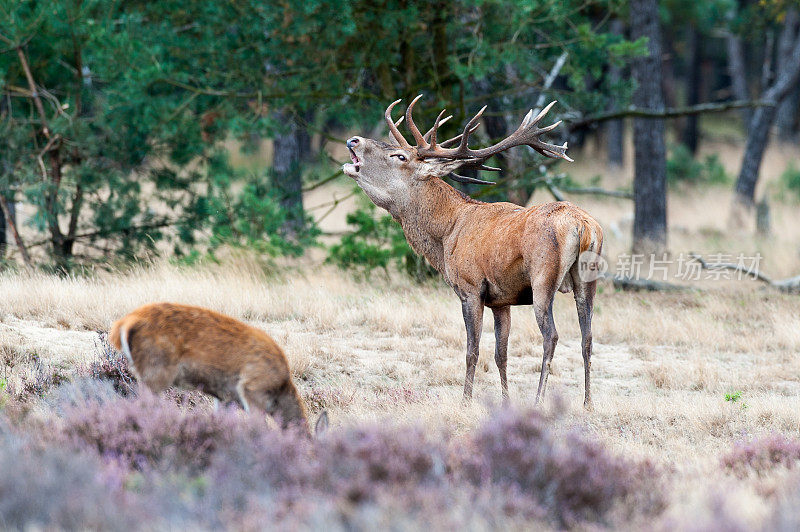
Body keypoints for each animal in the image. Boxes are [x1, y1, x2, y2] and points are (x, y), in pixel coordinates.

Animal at [110, 304, 328, 436]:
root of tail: (123, 324)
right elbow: (259, 428)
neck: (280, 389)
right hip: (156, 371)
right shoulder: (252, 388)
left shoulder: (225, 398)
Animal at [342, 96, 600, 408]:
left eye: (400, 156)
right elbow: (501, 354)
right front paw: (505, 402)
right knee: (588, 338)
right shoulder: (501, 300)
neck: (446, 234)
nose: (354, 140)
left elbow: (472, 351)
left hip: (543, 278)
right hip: (588, 280)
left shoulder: (470, 288)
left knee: (551, 336)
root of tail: (582, 225)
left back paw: (539, 400)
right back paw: (588, 403)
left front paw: (465, 400)